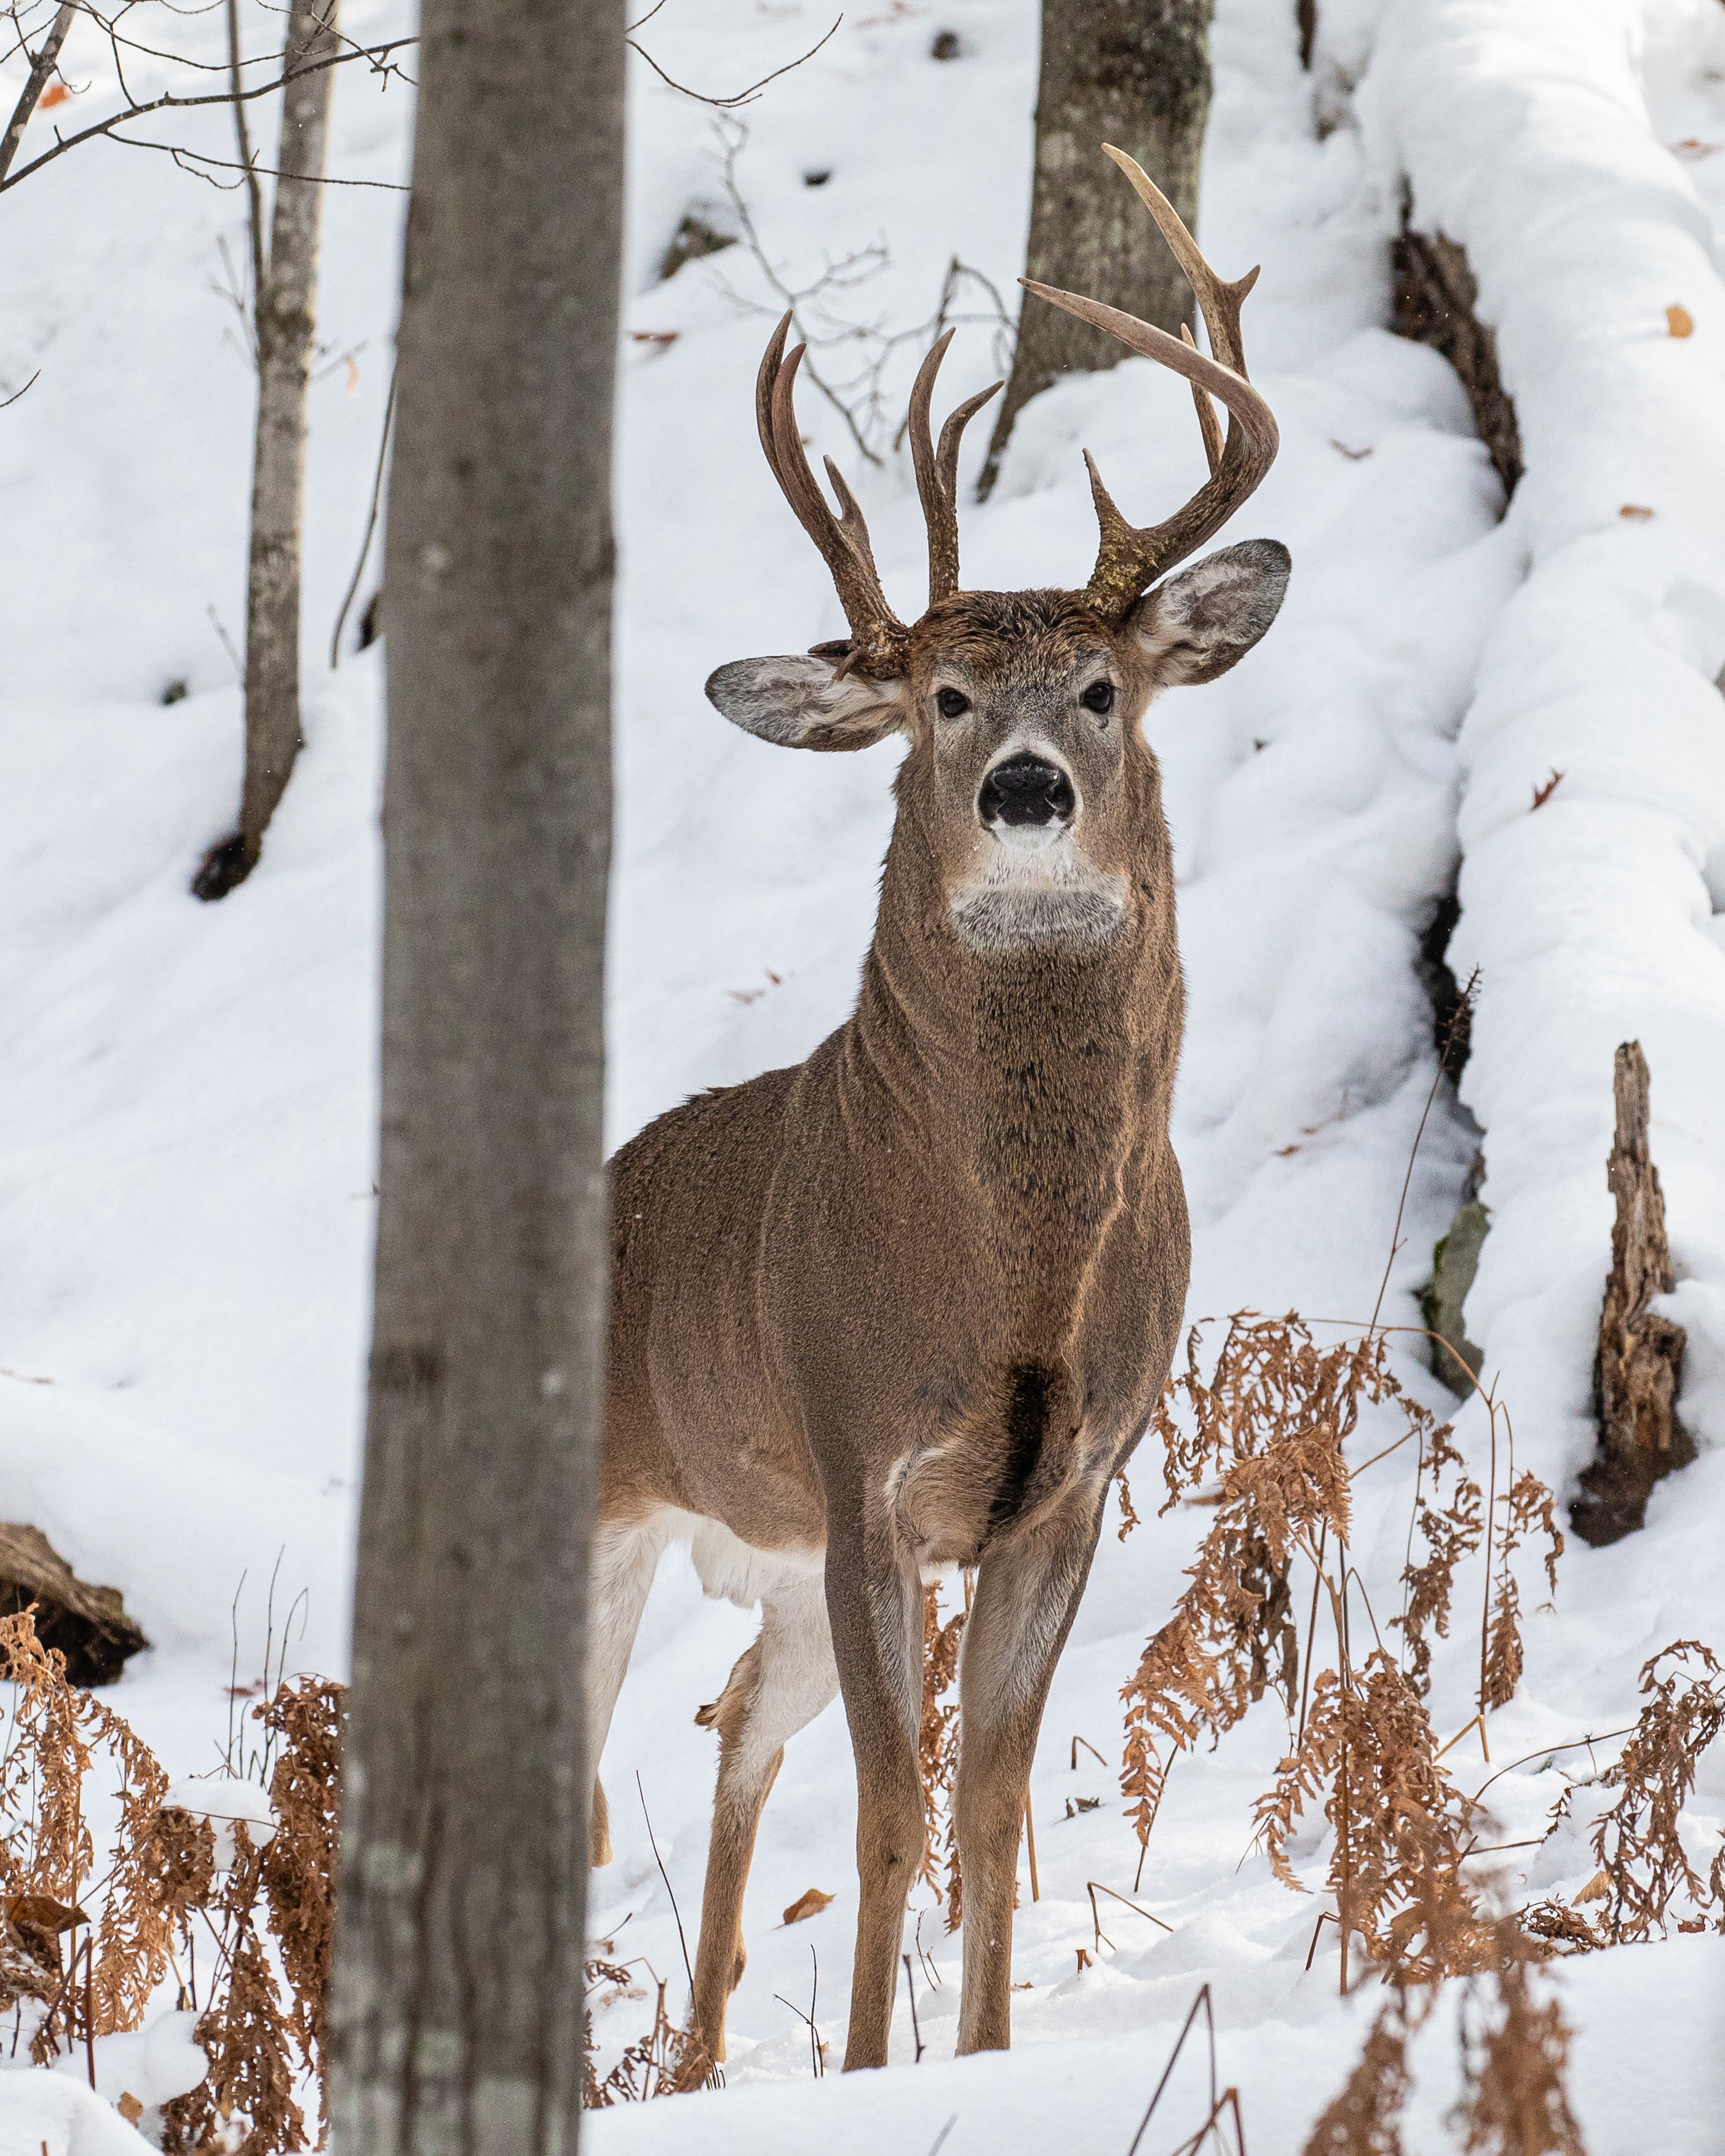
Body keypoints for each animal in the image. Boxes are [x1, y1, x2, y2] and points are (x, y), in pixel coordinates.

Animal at [588, 147, 1288, 2072]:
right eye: (943, 697)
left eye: (1103, 689)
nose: (1026, 788)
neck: (1013, 1278)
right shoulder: (858, 1469)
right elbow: (894, 1809)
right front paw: (866, 2077)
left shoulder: (1070, 1485)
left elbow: (985, 1798)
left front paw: (975, 2061)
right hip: (612, 1503)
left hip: (771, 1564)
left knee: (733, 1724)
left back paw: (696, 2066)